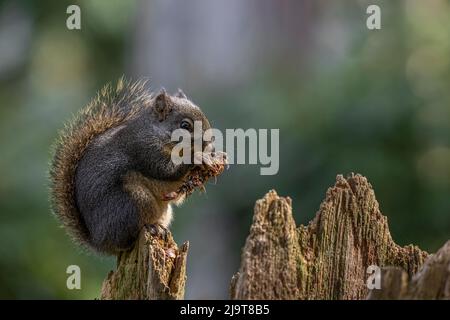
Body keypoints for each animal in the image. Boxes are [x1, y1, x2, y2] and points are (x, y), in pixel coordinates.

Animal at [49, 77, 225, 255]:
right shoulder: (143, 147)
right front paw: (197, 158)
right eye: (185, 126)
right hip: (133, 201)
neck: (156, 131)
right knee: (127, 237)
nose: (210, 142)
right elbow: (165, 170)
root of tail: (99, 242)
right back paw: (152, 228)